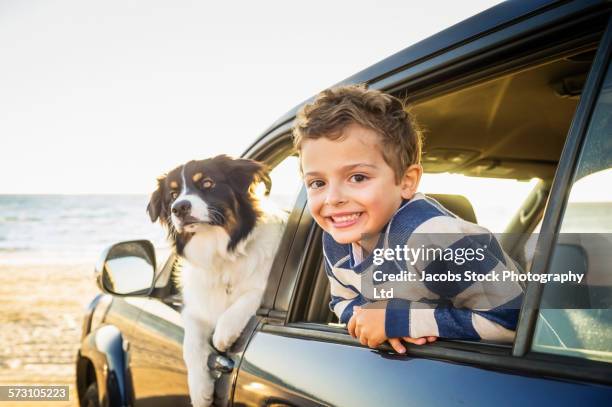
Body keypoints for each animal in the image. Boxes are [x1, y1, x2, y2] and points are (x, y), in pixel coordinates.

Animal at [147, 155, 286, 406]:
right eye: (172, 194)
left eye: (207, 183)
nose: (179, 207)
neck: (220, 254)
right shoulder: (195, 309)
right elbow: (190, 344)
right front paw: (199, 390)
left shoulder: (263, 288)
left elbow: (247, 297)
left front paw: (223, 334)